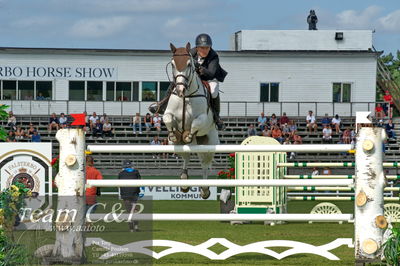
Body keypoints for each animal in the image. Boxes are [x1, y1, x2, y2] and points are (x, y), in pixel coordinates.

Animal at [162, 42, 220, 198]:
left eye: (189, 64)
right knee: (186, 156)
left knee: (205, 163)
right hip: (181, 145)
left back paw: (205, 190)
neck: (186, 96)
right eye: (173, 64)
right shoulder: (169, 114)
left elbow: (196, 122)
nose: (180, 90)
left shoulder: (203, 118)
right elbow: (167, 118)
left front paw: (187, 134)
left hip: (209, 143)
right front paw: (174, 134)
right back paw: (184, 180)